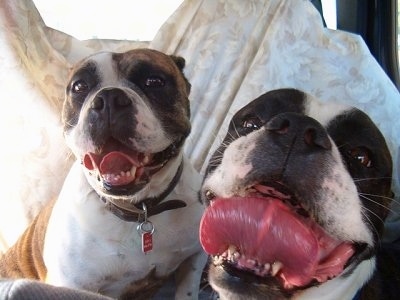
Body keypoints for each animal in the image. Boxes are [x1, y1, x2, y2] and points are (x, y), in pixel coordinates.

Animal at [0, 48, 206, 298]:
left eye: (154, 81)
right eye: (79, 86)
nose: (109, 99)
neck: (140, 209)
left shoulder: (194, 256)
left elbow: (187, 289)